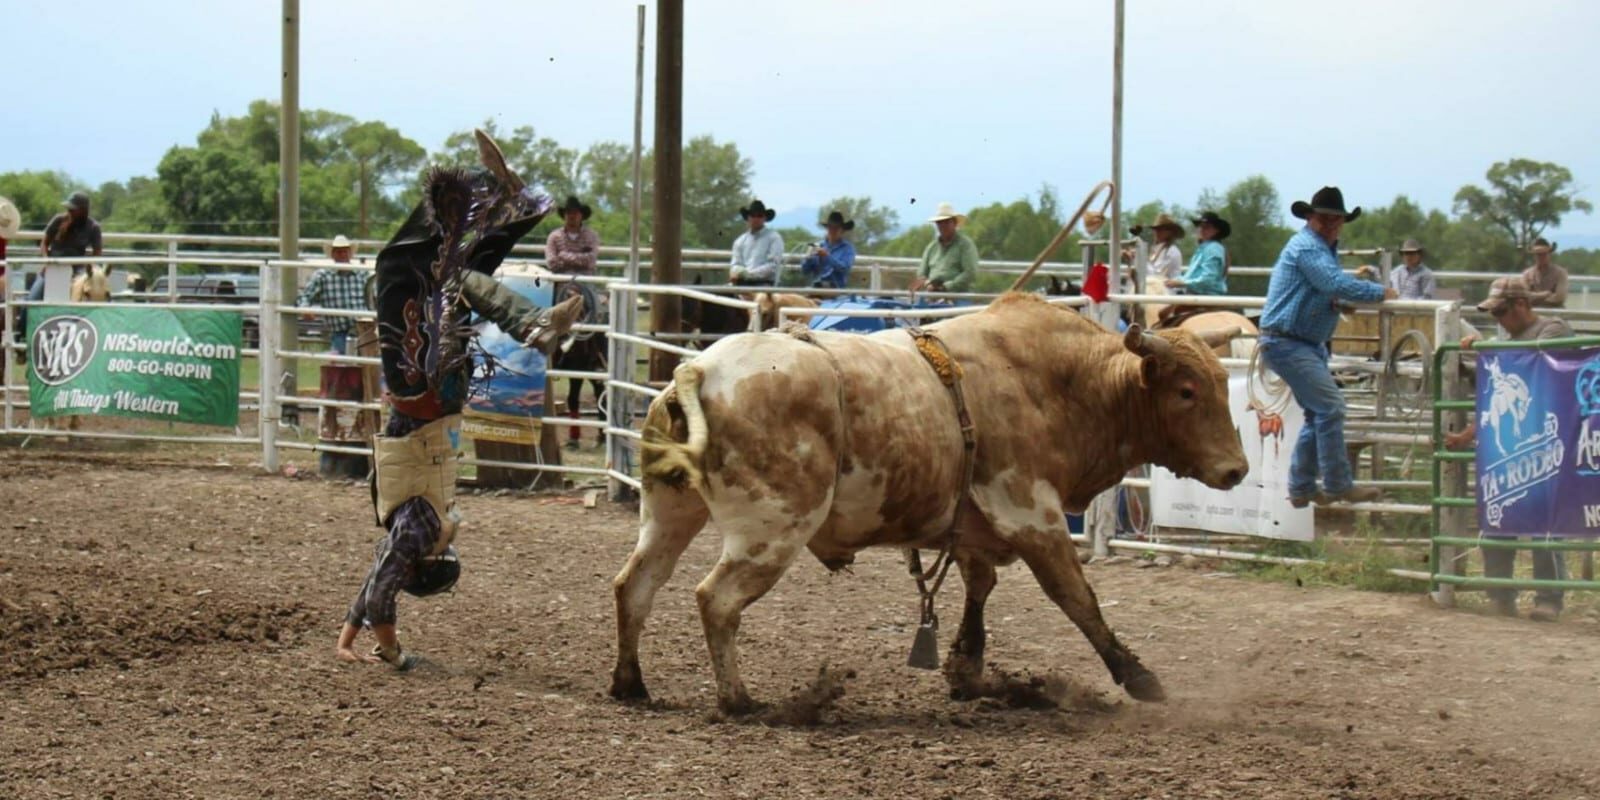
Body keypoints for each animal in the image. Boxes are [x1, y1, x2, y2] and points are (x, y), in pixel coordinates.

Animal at [611, 292, 1248, 713]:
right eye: (1186, 391)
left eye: (1223, 384)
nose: (1236, 469)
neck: (1061, 384)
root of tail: (699, 369)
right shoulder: (1032, 514)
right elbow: (1076, 598)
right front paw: (1138, 677)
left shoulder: (971, 522)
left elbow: (979, 585)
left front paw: (966, 667)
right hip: (771, 527)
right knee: (716, 599)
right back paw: (739, 699)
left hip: (670, 511)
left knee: (635, 585)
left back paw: (631, 683)